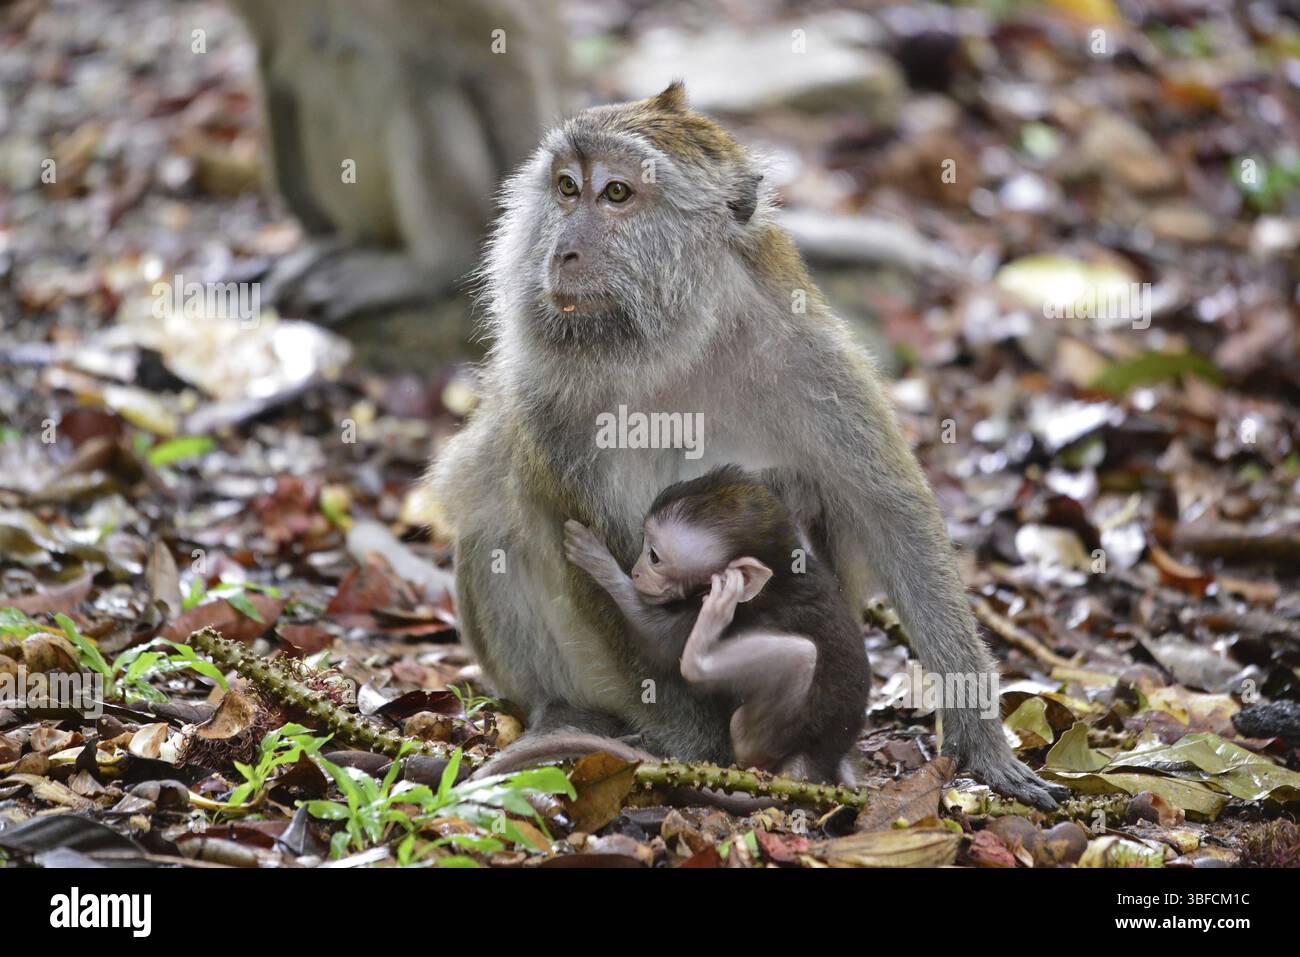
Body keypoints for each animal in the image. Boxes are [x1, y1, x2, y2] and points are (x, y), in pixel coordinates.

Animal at [226, 0, 566, 327]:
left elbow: (502, 44)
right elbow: (271, 56)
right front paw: (315, 231)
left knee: (423, 88)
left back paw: (431, 268)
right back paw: (349, 242)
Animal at [562, 466, 870, 784]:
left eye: (654, 557)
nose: (636, 572)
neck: (780, 571)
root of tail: (818, 756)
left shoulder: (713, 604)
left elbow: (655, 635)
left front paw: (595, 558)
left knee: (801, 656)